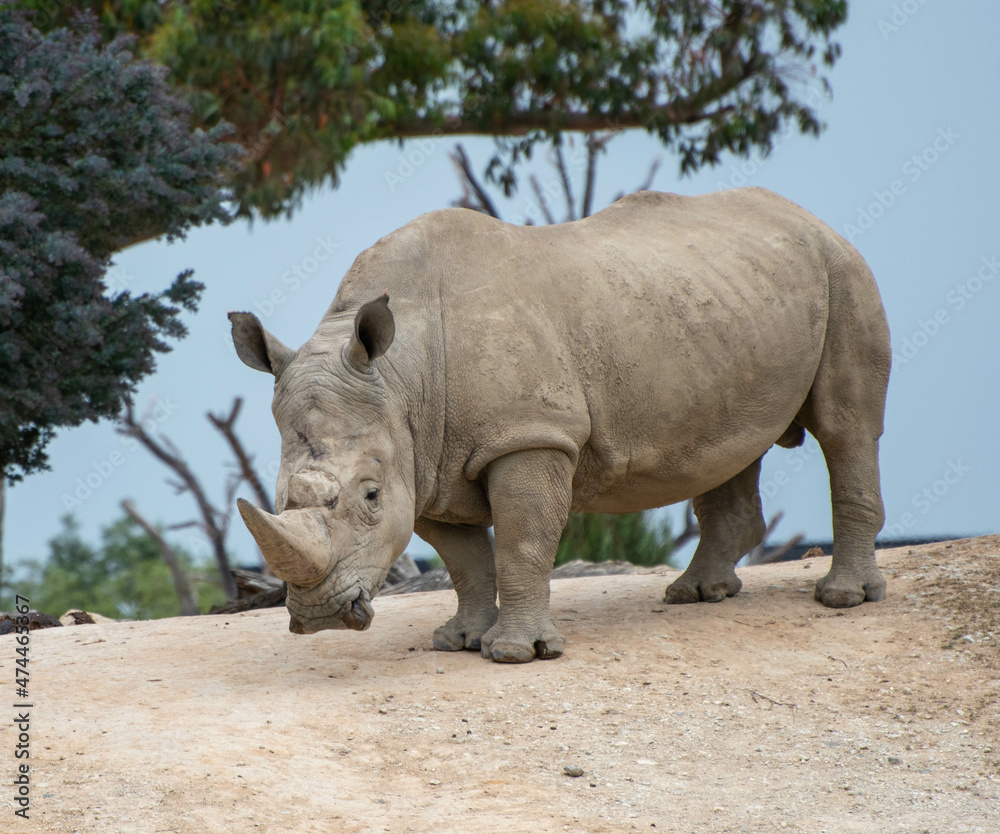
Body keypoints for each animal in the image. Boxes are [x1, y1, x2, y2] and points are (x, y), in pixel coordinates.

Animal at [230, 187, 891, 663]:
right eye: (278, 498)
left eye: (369, 496)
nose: (319, 616)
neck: (401, 380)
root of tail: (808, 217)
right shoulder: (425, 460)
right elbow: (465, 559)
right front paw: (458, 640)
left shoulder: (527, 435)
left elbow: (522, 543)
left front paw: (514, 653)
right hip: (730, 300)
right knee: (732, 445)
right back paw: (696, 594)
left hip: (843, 273)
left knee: (846, 428)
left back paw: (843, 599)